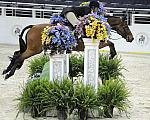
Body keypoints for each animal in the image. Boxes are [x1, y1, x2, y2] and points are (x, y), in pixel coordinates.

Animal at [2, 15, 134, 79]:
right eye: (126, 26)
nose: (131, 38)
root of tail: (33, 26)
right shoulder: (99, 43)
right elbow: (110, 43)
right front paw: (111, 55)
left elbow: (111, 43)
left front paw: (111, 55)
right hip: (33, 49)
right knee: (19, 57)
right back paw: (9, 74)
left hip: (30, 48)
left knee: (16, 54)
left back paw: (6, 70)